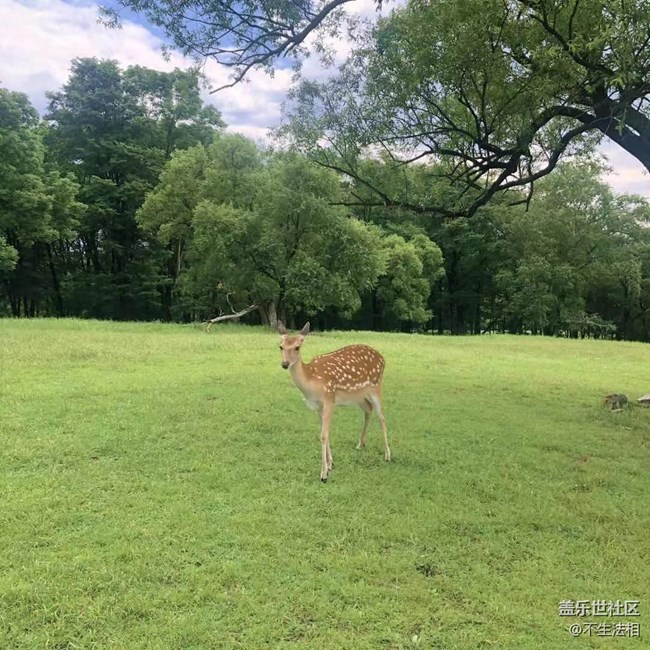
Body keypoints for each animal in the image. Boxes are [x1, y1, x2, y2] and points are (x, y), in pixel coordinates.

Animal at [278, 321, 391, 482]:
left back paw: (388, 455)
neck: (311, 380)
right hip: (358, 396)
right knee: (368, 409)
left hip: (376, 386)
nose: (285, 364)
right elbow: (325, 433)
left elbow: (323, 435)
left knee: (382, 417)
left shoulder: (329, 398)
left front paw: (324, 474)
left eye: (297, 347)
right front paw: (331, 464)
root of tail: (383, 358)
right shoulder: (318, 406)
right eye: (281, 346)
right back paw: (360, 444)